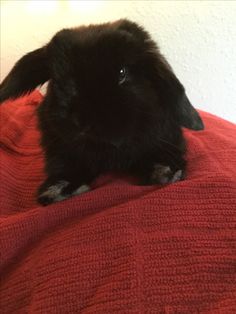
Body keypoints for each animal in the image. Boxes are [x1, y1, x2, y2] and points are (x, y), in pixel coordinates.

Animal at [0, 20, 203, 206]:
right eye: (58, 80)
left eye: (122, 72)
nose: (82, 121)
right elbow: (66, 167)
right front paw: (58, 191)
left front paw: (166, 173)